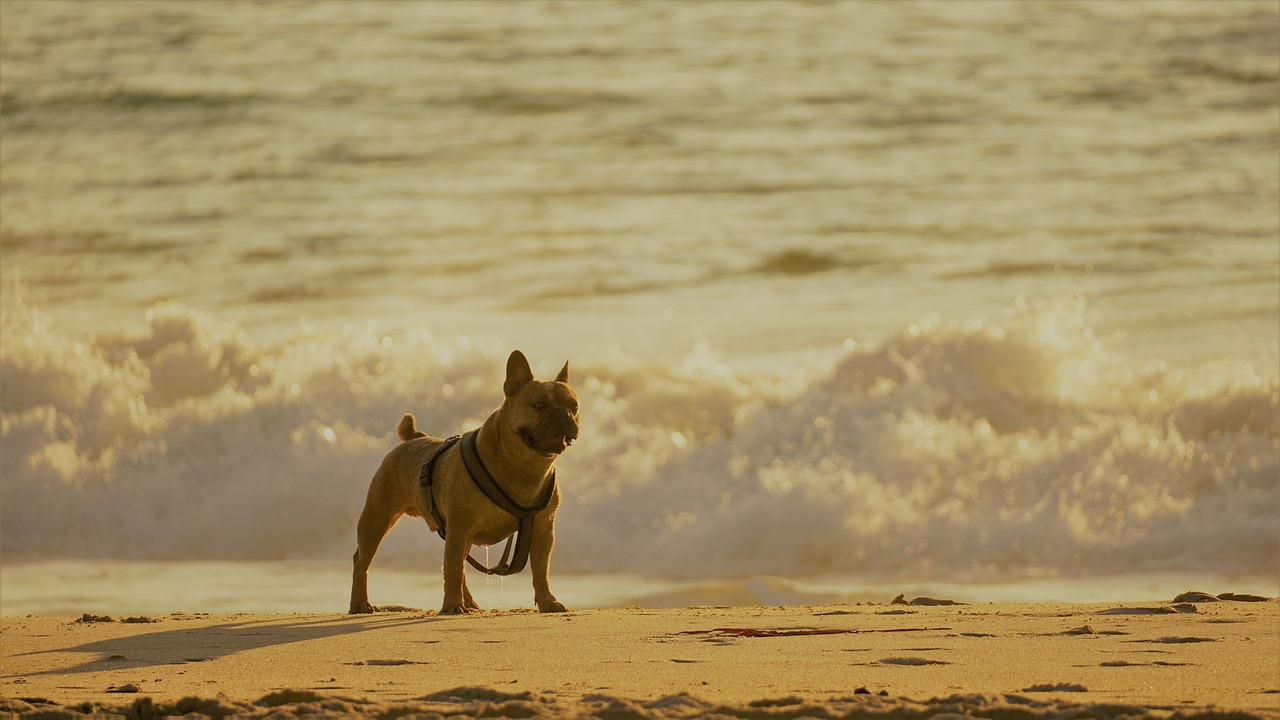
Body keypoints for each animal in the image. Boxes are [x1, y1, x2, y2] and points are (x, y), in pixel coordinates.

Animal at [345, 348, 576, 609]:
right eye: (539, 405)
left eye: (575, 406)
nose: (563, 413)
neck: (524, 465)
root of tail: (414, 438)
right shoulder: (459, 525)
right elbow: (454, 568)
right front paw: (453, 606)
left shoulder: (543, 528)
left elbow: (540, 569)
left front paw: (547, 601)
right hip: (377, 517)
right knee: (362, 560)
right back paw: (360, 604)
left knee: (458, 564)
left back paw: (470, 603)